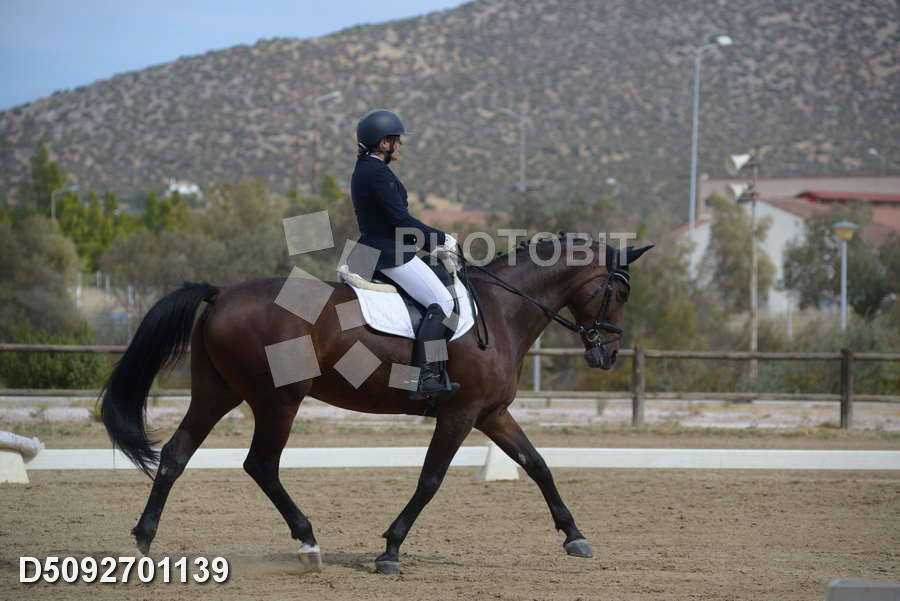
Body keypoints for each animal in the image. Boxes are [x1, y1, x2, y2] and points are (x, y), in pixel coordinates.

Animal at [100, 236, 652, 574]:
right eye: (620, 291)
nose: (607, 354)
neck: (502, 310)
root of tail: (221, 294)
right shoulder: (459, 414)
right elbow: (430, 480)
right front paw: (390, 549)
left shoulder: (492, 413)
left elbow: (537, 464)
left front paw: (574, 536)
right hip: (278, 400)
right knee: (260, 464)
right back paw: (308, 542)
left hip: (218, 392)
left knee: (176, 455)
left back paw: (144, 541)